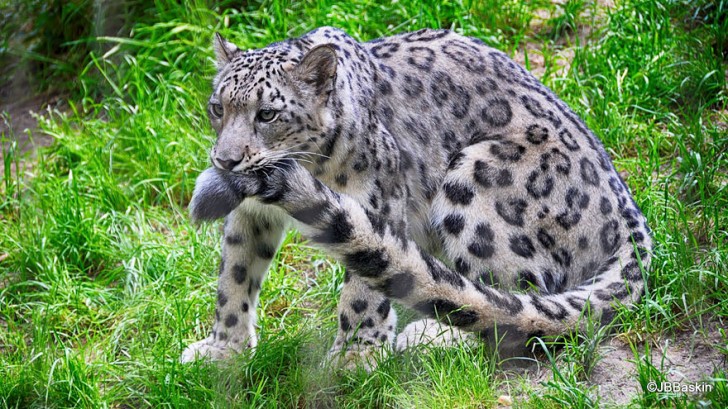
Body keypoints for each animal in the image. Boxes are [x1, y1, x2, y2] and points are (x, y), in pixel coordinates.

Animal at [180, 26, 652, 369]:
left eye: (268, 113)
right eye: (218, 107)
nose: (224, 160)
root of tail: (626, 208)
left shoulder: (374, 197)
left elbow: (362, 290)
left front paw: (354, 356)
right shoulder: (250, 211)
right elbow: (235, 274)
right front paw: (224, 350)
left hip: (474, 184)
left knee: (515, 302)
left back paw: (431, 337)